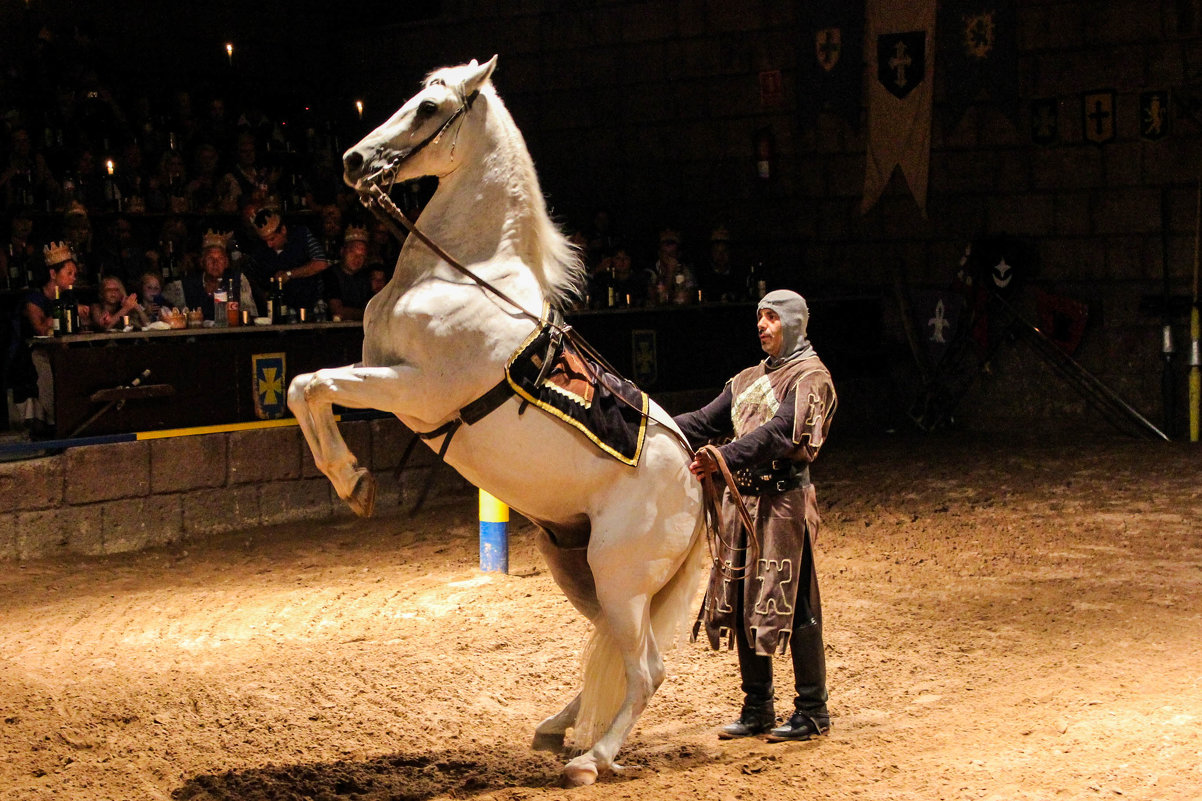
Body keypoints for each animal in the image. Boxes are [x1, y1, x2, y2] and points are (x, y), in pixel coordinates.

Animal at [287, 57, 706, 784]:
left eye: (429, 108)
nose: (354, 160)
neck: (468, 273)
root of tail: (701, 481)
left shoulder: (413, 389)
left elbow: (313, 385)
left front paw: (353, 481)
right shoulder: (379, 370)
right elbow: (299, 388)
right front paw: (355, 483)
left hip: (621, 576)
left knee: (647, 668)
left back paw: (592, 758)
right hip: (581, 569)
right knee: (613, 649)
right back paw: (558, 727)